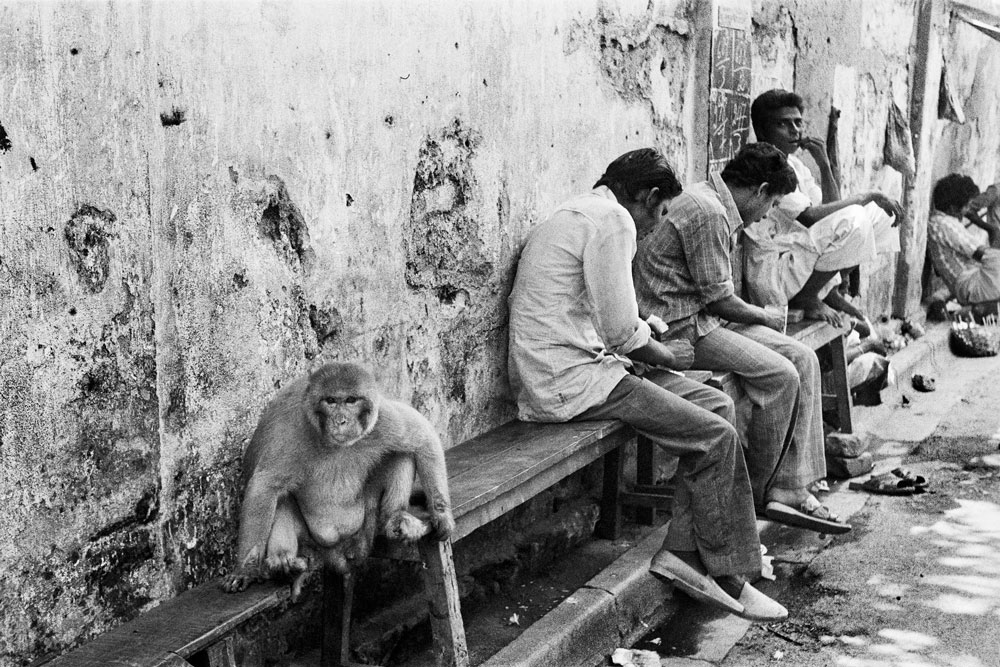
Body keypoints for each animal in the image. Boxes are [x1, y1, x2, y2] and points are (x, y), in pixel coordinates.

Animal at [225, 362, 456, 596]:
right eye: (331, 401)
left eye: (351, 400)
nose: (341, 420)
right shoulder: (291, 433)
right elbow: (264, 486)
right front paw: (245, 570)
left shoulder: (382, 418)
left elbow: (423, 436)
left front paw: (442, 515)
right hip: (312, 541)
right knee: (281, 496)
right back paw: (284, 563)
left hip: (366, 523)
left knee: (400, 453)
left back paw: (393, 517)